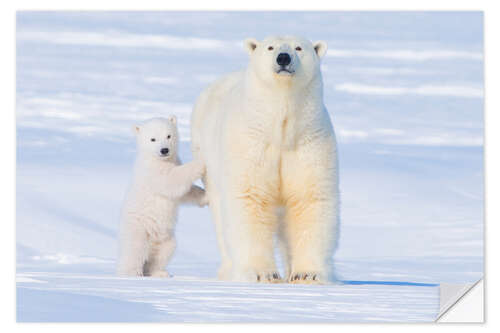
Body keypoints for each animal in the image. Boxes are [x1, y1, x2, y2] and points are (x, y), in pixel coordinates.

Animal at [117, 115, 207, 276]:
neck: (159, 159)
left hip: (166, 238)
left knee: (164, 251)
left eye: (168, 135)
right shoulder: (152, 172)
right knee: (134, 250)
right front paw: (200, 163)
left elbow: (184, 193)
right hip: (138, 228)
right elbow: (171, 180)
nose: (164, 150)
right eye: (153, 139)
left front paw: (205, 196)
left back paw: (159, 273)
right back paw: (131, 273)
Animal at [191, 35, 340, 282]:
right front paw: (263, 274)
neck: (280, 130)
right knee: (221, 216)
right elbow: (250, 198)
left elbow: (309, 199)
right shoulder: (250, 143)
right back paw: (228, 270)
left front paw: (307, 274)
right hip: (207, 157)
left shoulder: (309, 142)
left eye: (299, 47)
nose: (283, 58)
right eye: (270, 47)